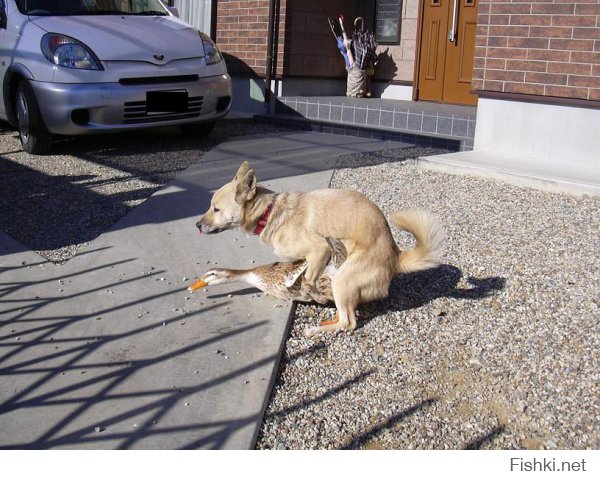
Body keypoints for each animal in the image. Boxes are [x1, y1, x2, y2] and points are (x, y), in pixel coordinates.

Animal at [195, 161, 442, 338]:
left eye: (216, 209)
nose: (197, 225)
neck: (270, 212)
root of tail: (395, 254)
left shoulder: (320, 250)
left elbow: (307, 280)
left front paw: (316, 296)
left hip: (343, 278)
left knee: (348, 322)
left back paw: (318, 328)